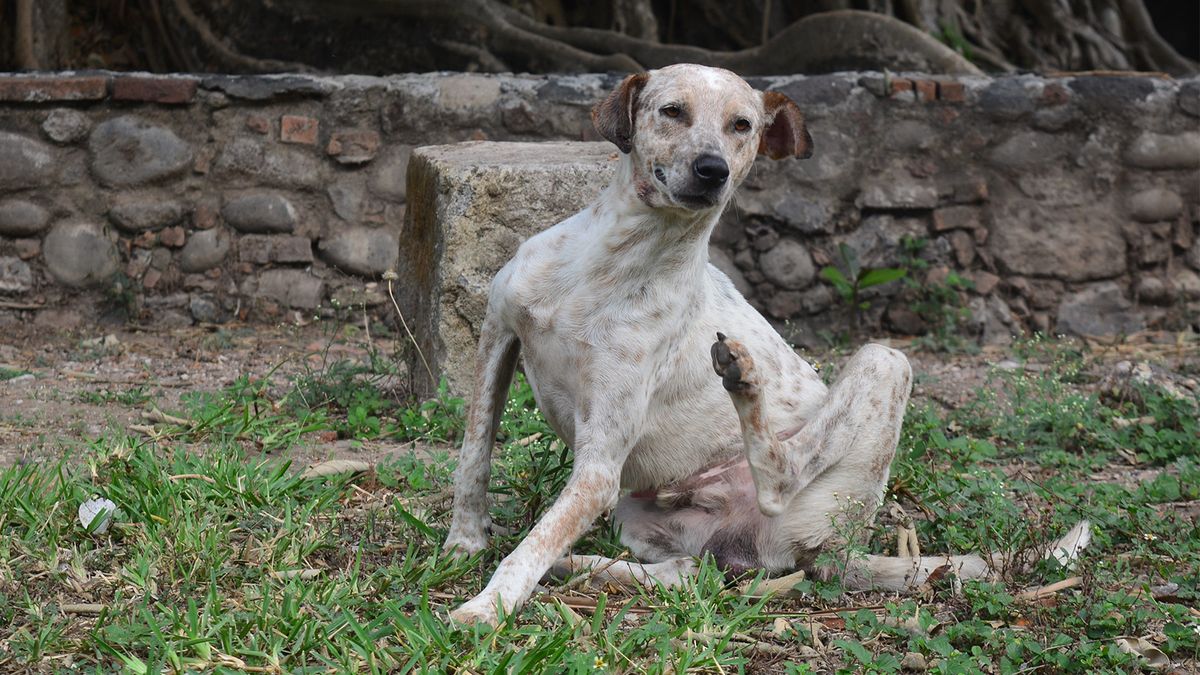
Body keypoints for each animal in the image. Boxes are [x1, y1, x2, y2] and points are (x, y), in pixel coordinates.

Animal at [441, 64, 1089, 624]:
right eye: (672, 111)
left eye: (742, 125)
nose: (712, 170)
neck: (613, 262)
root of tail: (839, 549)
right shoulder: (498, 336)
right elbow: (473, 456)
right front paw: (463, 543)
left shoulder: (600, 469)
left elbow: (532, 544)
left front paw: (488, 606)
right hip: (641, 520)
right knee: (687, 574)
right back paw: (592, 567)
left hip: (883, 362)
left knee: (780, 476)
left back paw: (743, 381)